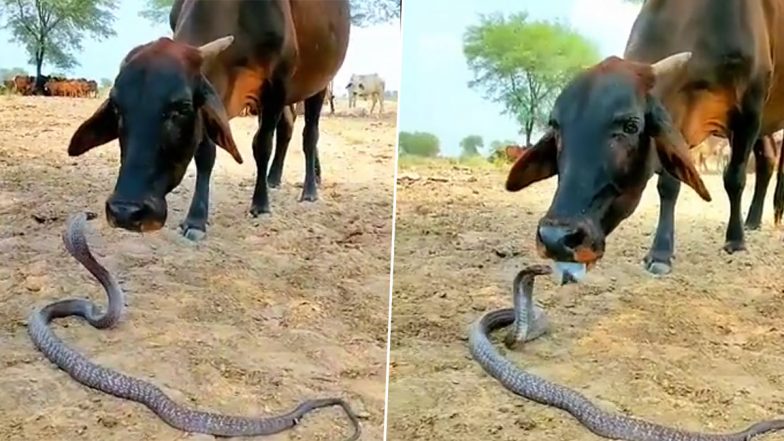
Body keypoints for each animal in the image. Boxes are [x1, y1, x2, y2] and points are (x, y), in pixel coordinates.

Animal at [67, 0, 350, 242]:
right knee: (288, 128)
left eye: (182, 107)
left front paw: (260, 204)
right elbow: (205, 154)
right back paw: (275, 177)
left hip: (318, 87)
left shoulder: (276, 88)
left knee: (309, 135)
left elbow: (262, 145)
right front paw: (196, 219)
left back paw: (309, 189)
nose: (125, 211)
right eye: (117, 108)